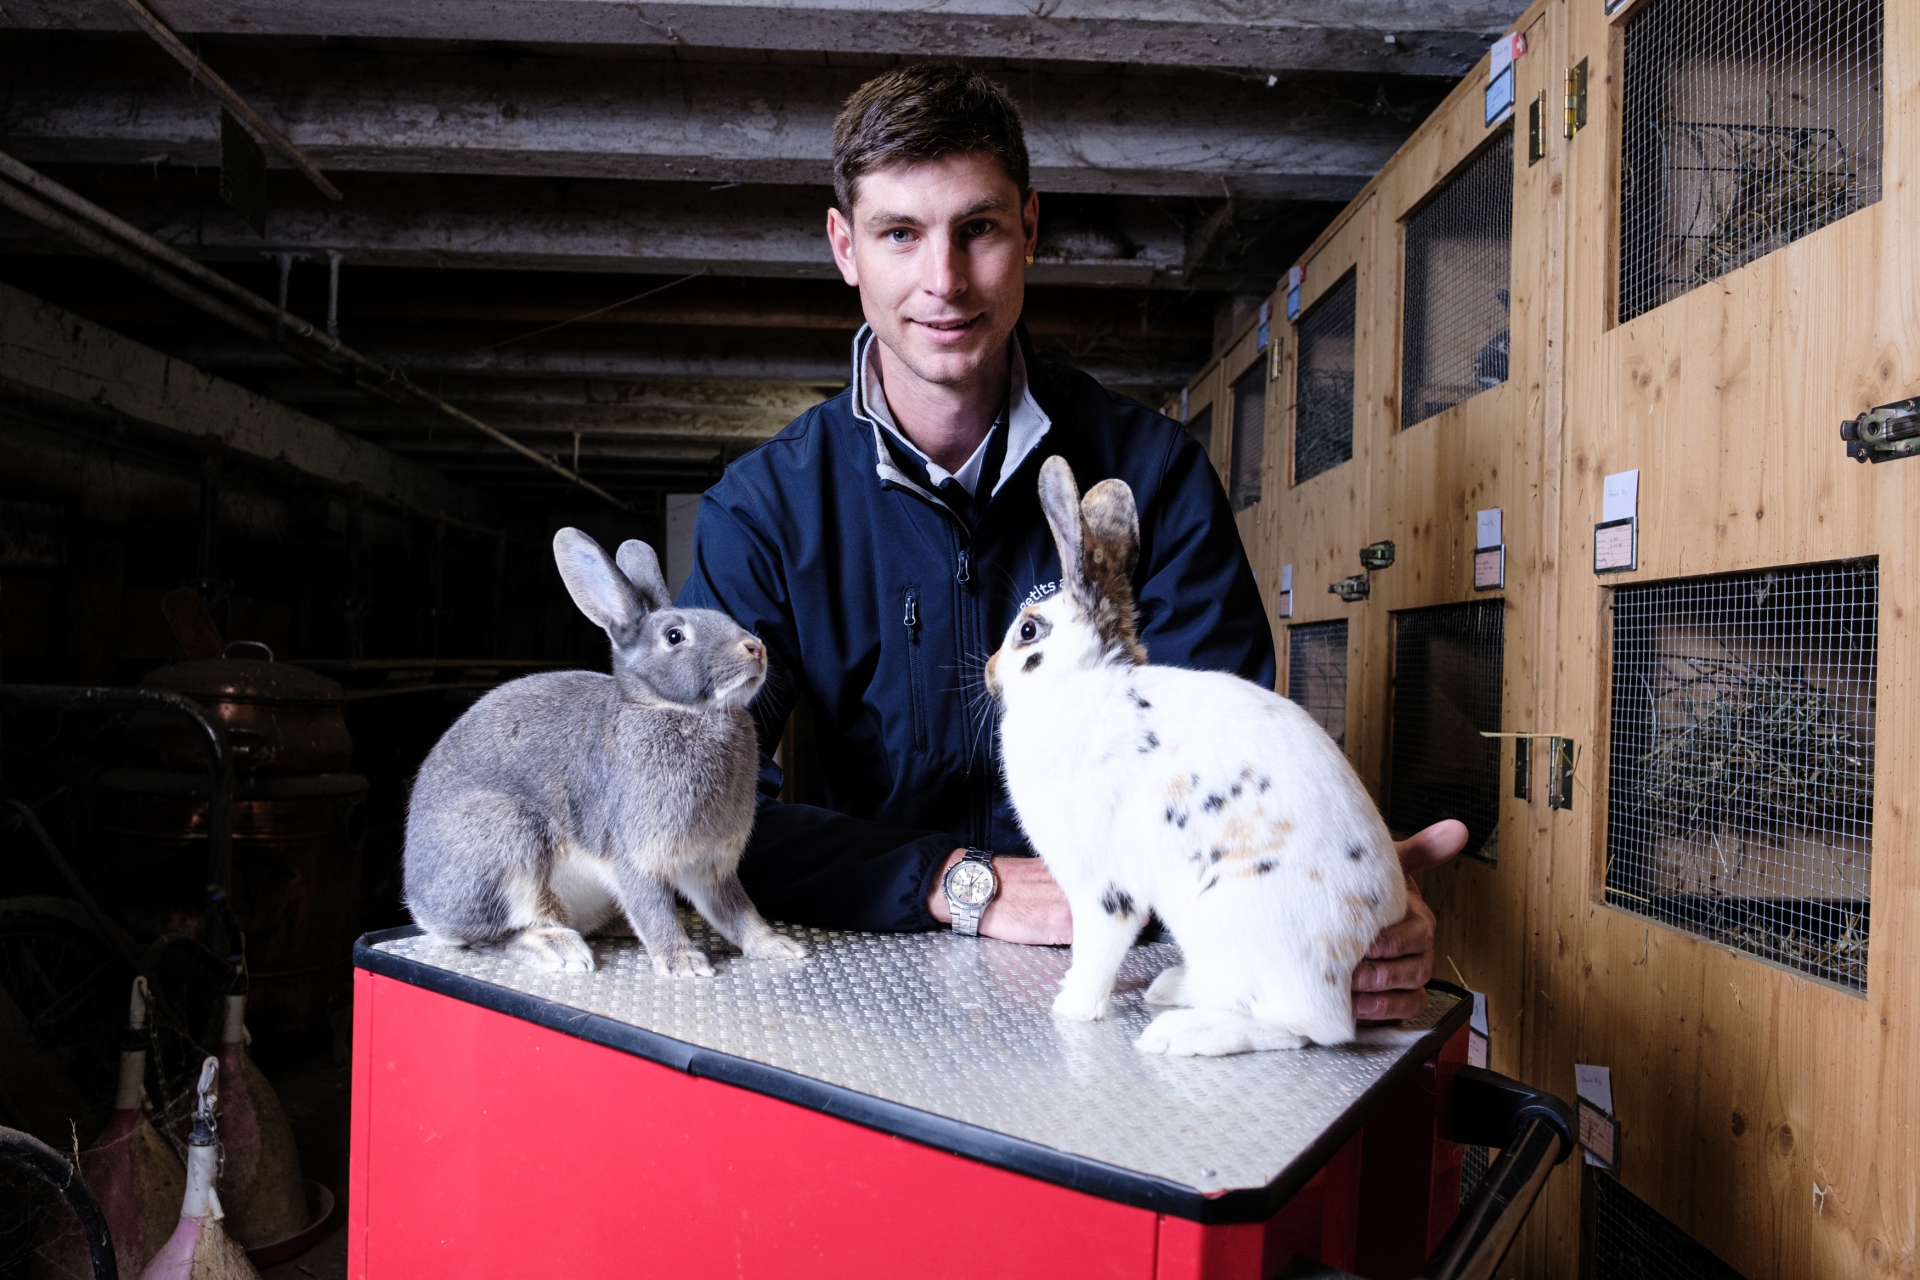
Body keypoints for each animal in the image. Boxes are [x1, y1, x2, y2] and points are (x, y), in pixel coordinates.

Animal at [403, 525, 802, 974]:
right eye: (675, 637)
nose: (756, 649)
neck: (671, 707)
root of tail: (423, 908)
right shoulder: (637, 856)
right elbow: (654, 910)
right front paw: (682, 962)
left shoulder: (711, 866)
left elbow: (737, 911)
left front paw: (777, 946)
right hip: (503, 839)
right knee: (493, 936)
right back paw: (560, 948)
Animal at [990, 454, 1413, 1059]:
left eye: (1028, 630)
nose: (989, 672)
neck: (1084, 684)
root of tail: (1348, 963)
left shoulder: (1103, 888)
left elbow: (1096, 951)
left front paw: (1071, 1008)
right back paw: (1172, 989)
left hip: (1232, 923)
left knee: (1307, 1028)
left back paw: (1179, 1033)